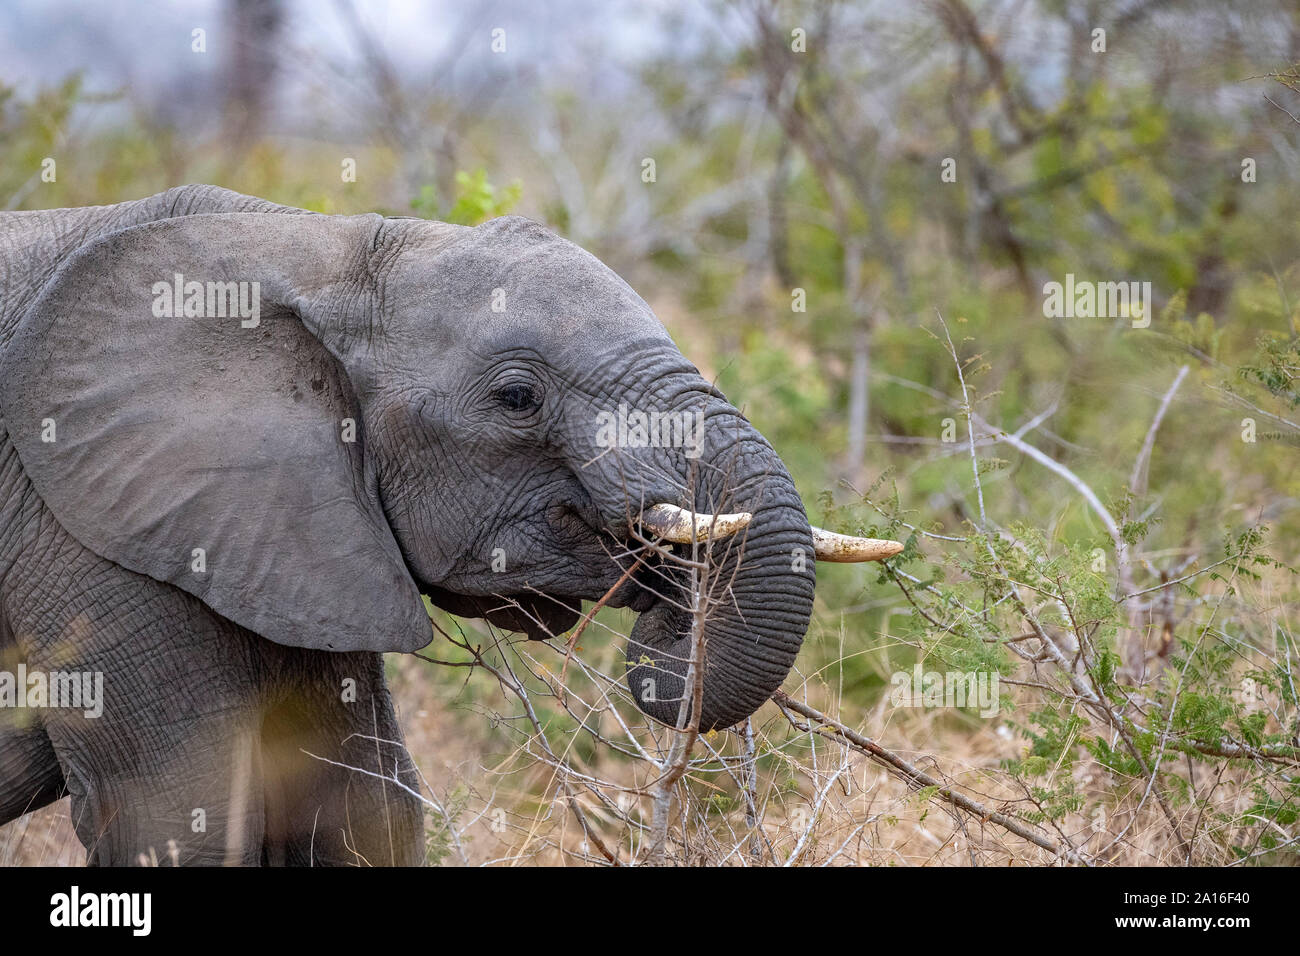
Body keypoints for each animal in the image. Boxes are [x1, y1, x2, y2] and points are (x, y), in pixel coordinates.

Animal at [0, 187, 899, 868]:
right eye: (517, 398)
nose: (667, 618)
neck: (317, 244)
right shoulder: (77, 532)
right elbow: (180, 821)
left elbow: (368, 808)